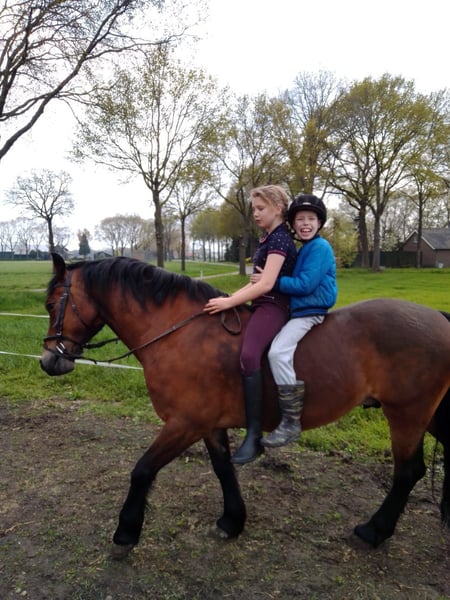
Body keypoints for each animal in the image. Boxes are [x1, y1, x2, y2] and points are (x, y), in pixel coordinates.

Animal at [40, 253, 450, 559]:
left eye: (50, 303)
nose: (48, 361)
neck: (181, 333)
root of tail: (438, 319)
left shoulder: (184, 423)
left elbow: (142, 471)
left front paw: (125, 533)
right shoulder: (207, 424)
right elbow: (223, 469)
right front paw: (232, 521)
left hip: (407, 413)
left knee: (408, 472)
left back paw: (374, 530)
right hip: (426, 416)